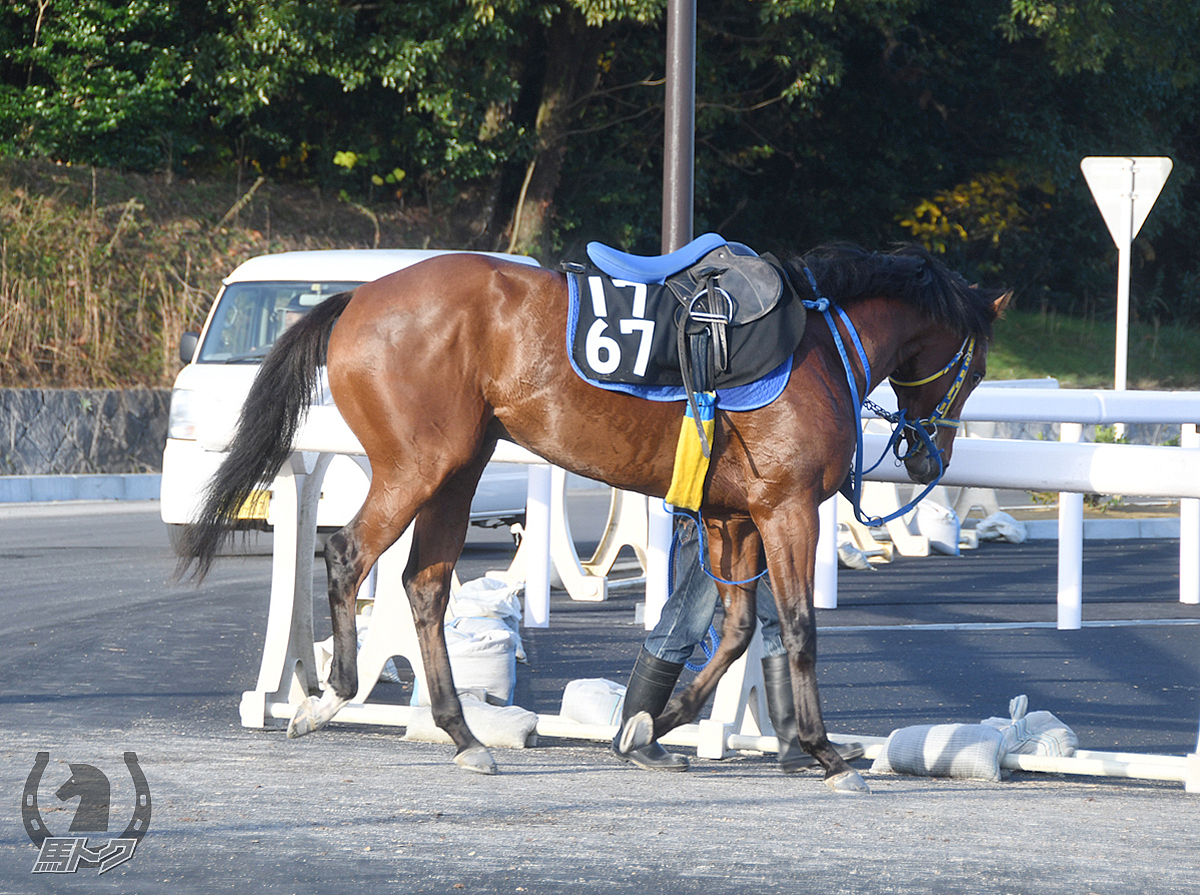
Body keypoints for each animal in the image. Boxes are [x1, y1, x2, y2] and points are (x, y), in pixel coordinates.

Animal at [175, 237, 1003, 787]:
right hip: (418, 464)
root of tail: (360, 296)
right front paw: (827, 751)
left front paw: (648, 724)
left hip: (459, 467)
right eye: (977, 367)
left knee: (425, 583)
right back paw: (331, 695)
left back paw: (462, 732)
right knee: (349, 552)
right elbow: (796, 629)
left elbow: (736, 630)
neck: (817, 341)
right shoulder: (787, 508)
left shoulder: (735, 518)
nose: (930, 460)